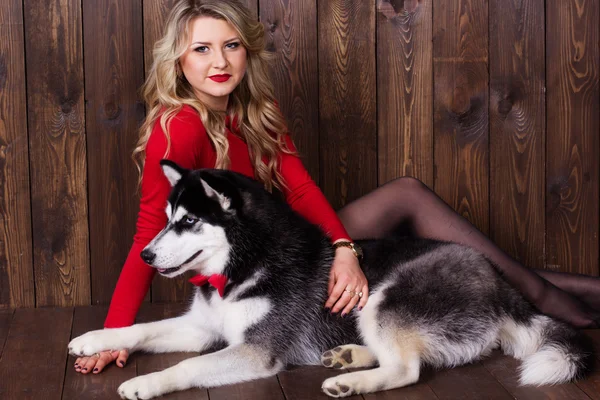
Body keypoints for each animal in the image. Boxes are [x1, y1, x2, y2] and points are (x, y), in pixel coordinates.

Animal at [68, 161, 592, 398]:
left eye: (189, 222)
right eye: (167, 218)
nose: (146, 253)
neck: (245, 264)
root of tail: (497, 278)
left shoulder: (256, 350)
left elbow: (189, 367)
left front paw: (147, 382)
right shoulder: (202, 326)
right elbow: (140, 328)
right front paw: (95, 339)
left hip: (385, 296)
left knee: (408, 368)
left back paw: (352, 381)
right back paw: (349, 356)